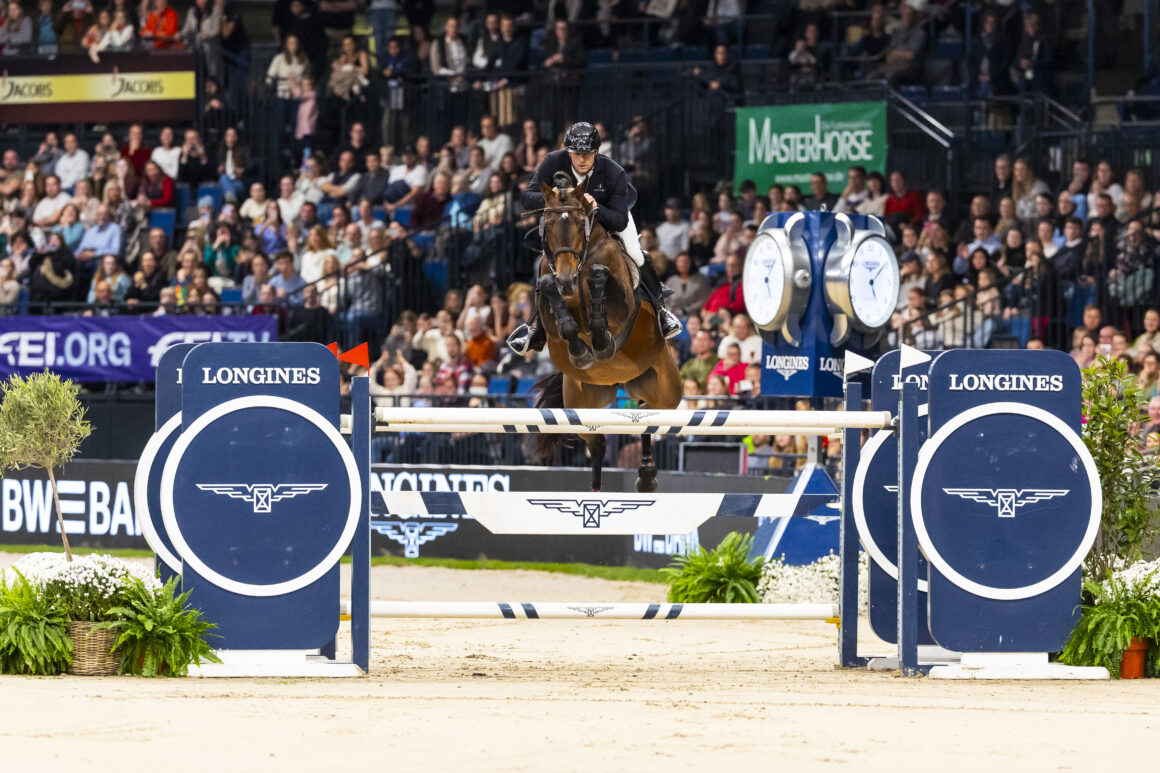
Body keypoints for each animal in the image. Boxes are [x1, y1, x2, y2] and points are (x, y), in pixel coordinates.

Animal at [526, 177, 677, 489]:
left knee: (647, 418)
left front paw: (600, 341)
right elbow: (551, 295)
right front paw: (581, 352)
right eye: (548, 224)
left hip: (667, 394)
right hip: (582, 403)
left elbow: (601, 286)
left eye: (579, 223)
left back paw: (646, 475)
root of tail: (621, 383)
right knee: (598, 442)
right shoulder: (552, 320)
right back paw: (598, 489)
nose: (567, 280)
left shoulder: (622, 309)